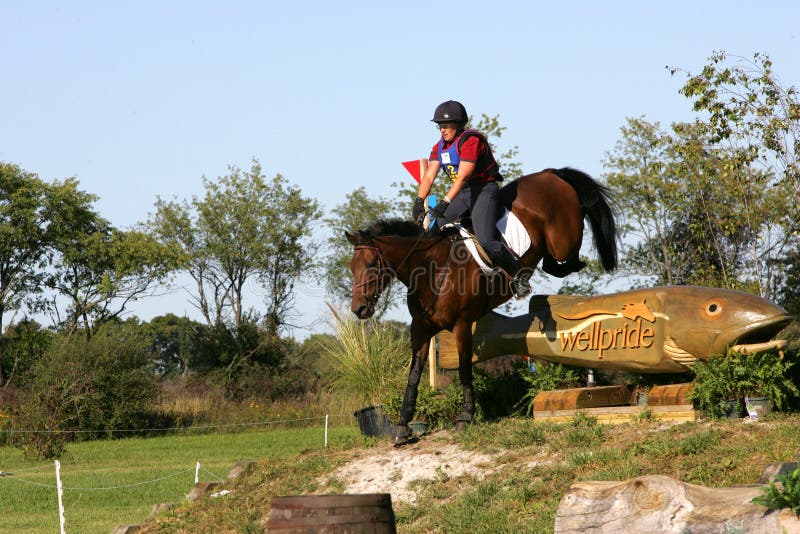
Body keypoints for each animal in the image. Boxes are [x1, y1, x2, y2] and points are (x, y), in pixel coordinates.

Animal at [345, 167, 618, 445]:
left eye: (371, 265)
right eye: (352, 267)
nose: (359, 309)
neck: (431, 270)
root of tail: (548, 173)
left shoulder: (462, 324)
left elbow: (465, 369)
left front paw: (465, 417)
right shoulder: (420, 329)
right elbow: (413, 375)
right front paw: (402, 426)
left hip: (562, 238)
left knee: (565, 256)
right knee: (554, 263)